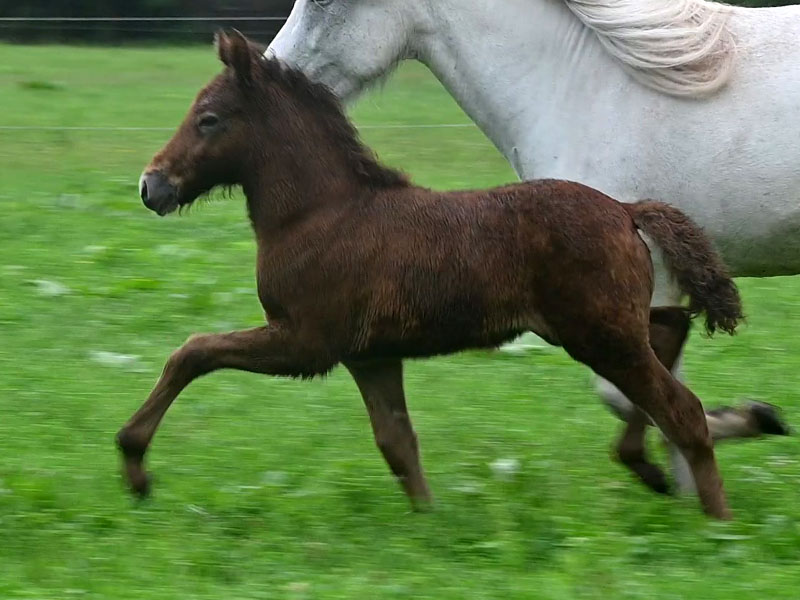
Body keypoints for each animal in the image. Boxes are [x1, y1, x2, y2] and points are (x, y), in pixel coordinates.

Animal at [117, 30, 745, 519]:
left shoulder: (305, 343)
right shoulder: (370, 356)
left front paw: (134, 463)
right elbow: (397, 442)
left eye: (208, 119)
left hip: (599, 335)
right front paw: (429, 523)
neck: (320, 212)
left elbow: (192, 351)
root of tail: (625, 210)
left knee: (684, 408)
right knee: (672, 329)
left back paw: (716, 522)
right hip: (606, 327)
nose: (153, 186)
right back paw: (648, 464)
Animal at [266, 0, 795, 492]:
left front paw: (749, 425)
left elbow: (640, 397)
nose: (271, 74)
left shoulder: (652, 284)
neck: (582, 89)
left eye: (323, 5)